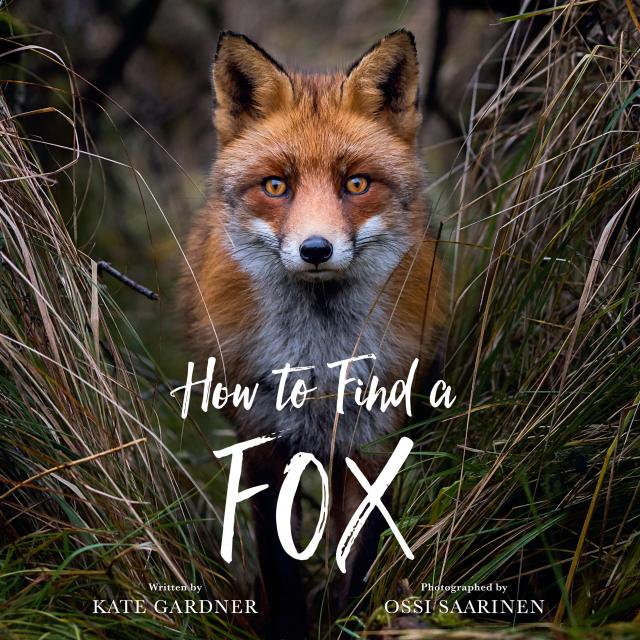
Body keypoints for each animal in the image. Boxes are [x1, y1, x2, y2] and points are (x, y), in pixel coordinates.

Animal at [180, 29, 447, 640]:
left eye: (356, 184)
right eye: (277, 185)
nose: (316, 250)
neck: (319, 364)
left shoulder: (373, 440)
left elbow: (358, 558)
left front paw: (346, 620)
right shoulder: (262, 439)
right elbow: (281, 567)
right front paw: (291, 627)